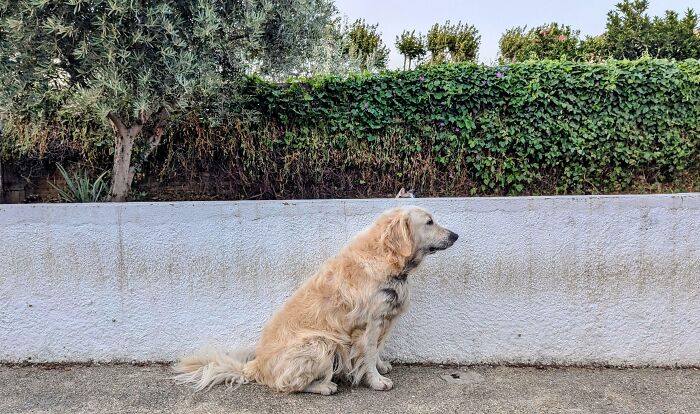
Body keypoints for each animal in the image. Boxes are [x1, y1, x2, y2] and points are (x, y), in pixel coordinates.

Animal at [174, 206, 460, 394]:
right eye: (429, 222)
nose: (455, 235)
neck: (389, 260)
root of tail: (255, 366)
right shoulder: (368, 325)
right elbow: (367, 354)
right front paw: (376, 381)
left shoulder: (384, 320)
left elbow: (378, 350)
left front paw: (382, 366)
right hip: (320, 343)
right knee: (288, 385)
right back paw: (324, 386)